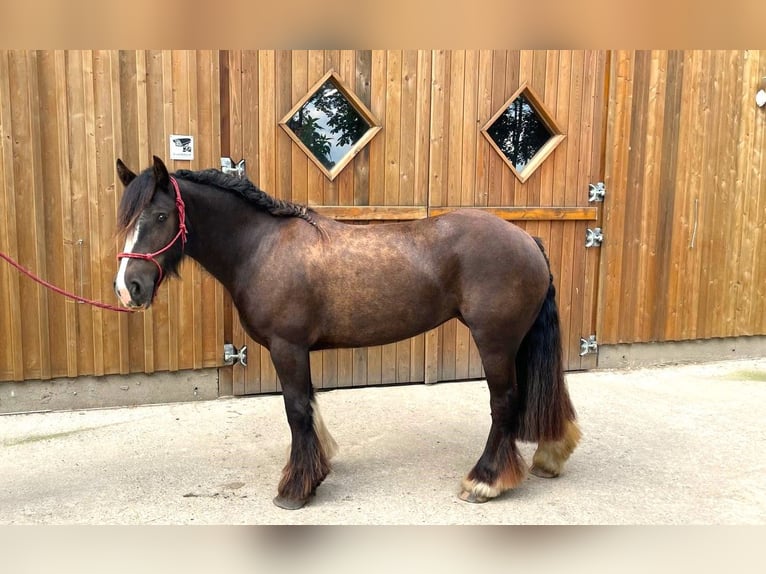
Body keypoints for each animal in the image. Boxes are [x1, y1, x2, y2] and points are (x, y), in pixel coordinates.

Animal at [112, 155, 584, 510]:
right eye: (126, 221)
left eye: (160, 216)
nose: (128, 287)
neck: (262, 246)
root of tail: (526, 239)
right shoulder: (297, 351)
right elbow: (309, 406)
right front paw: (318, 470)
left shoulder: (287, 348)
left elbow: (296, 410)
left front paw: (295, 489)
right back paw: (548, 456)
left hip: (495, 342)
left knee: (504, 403)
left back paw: (484, 481)